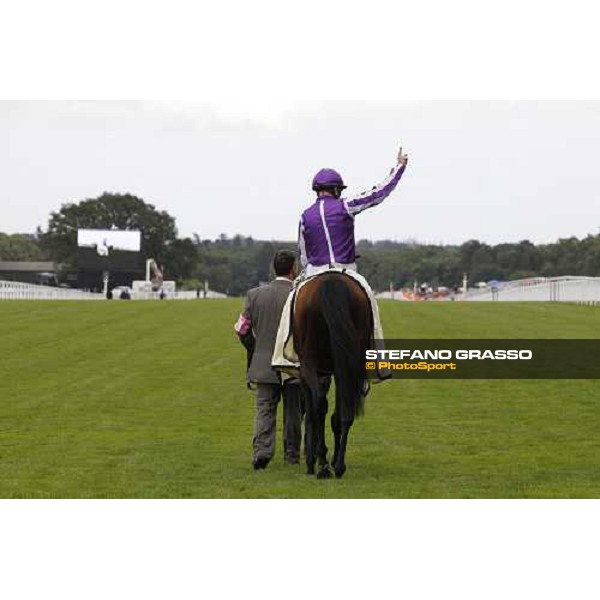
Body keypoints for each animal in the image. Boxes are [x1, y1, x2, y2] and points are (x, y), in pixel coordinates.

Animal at [290, 274, 370, 478]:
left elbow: (311, 413)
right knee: (345, 411)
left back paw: (322, 465)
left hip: (310, 363)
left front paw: (314, 460)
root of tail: (331, 281)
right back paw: (339, 464)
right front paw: (330, 460)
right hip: (347, 365)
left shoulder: (306, 372)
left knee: (319, 405)